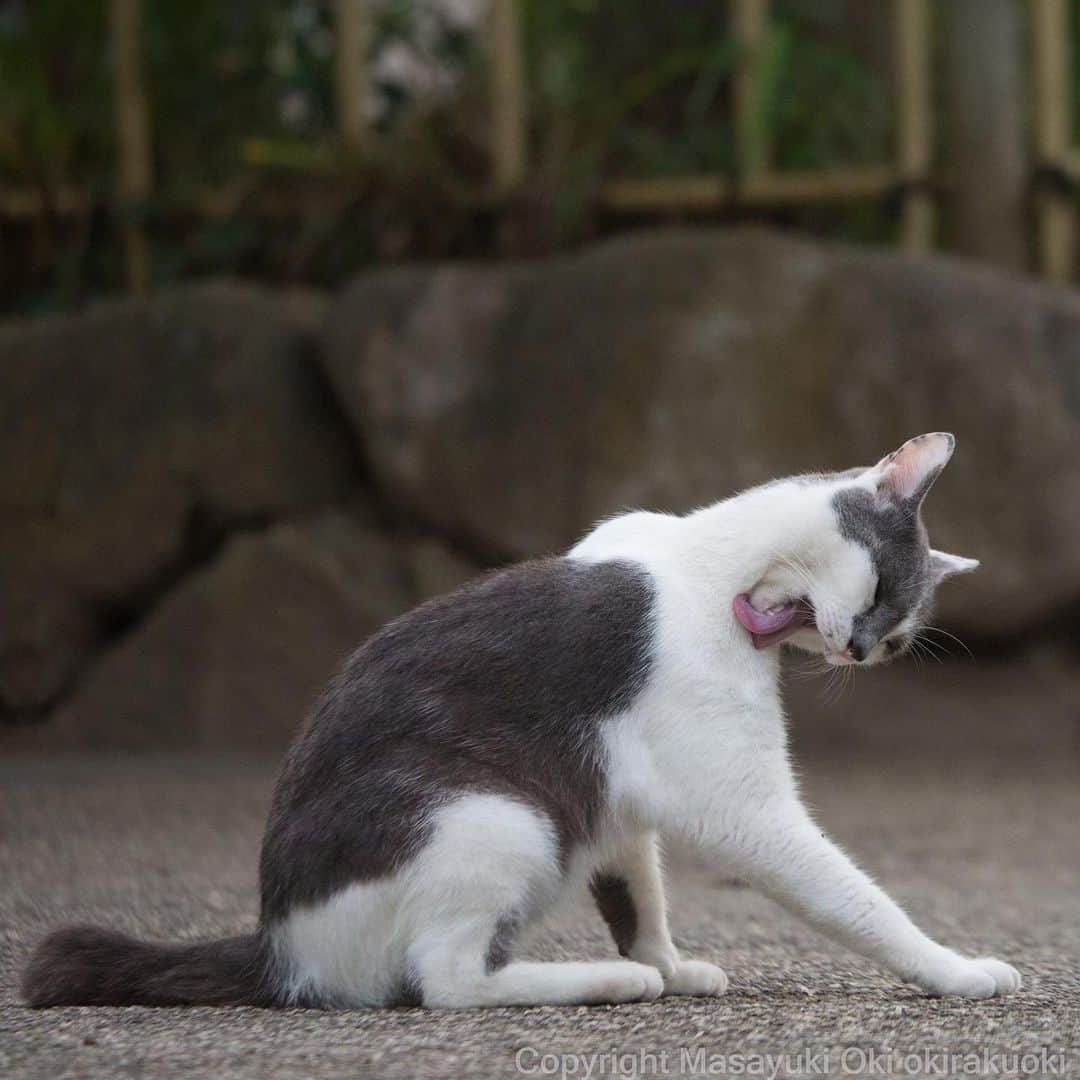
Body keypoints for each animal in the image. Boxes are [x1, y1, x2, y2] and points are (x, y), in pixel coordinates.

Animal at [23, 432, 1019, 1010]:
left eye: (900, 639)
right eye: (884, 594)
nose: (865, 650)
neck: (703, 563)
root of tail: (279, 944)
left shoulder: (619, 795)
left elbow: (637, 888)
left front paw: (671, 960)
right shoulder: (742, 806)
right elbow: (855, 897)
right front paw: (959, 969)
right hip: (499, 813)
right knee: (446, 983)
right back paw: (607, 984)